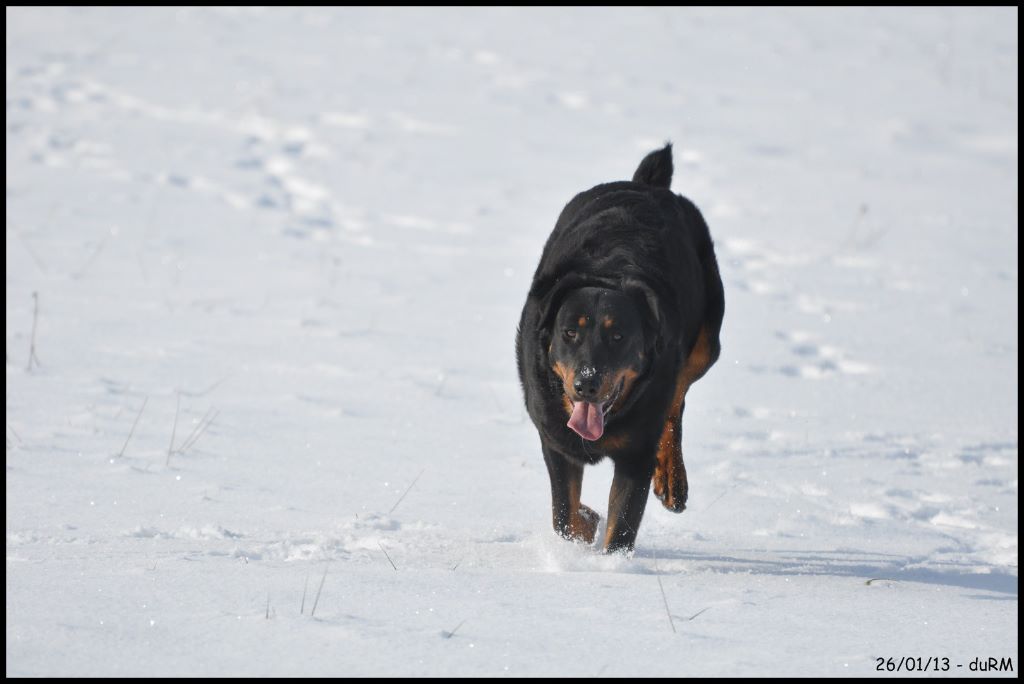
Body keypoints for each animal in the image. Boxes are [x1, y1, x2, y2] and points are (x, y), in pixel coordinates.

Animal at [516, 143, 724, 548]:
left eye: (618, 336)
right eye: (570, 332)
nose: (587, 382)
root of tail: (647, 184)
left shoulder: (636, 453)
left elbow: (622, 525)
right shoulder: (554, 436)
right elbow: (564, 516)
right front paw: (585, 522)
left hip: (709, 335)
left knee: (678, 397)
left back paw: (672, 480)